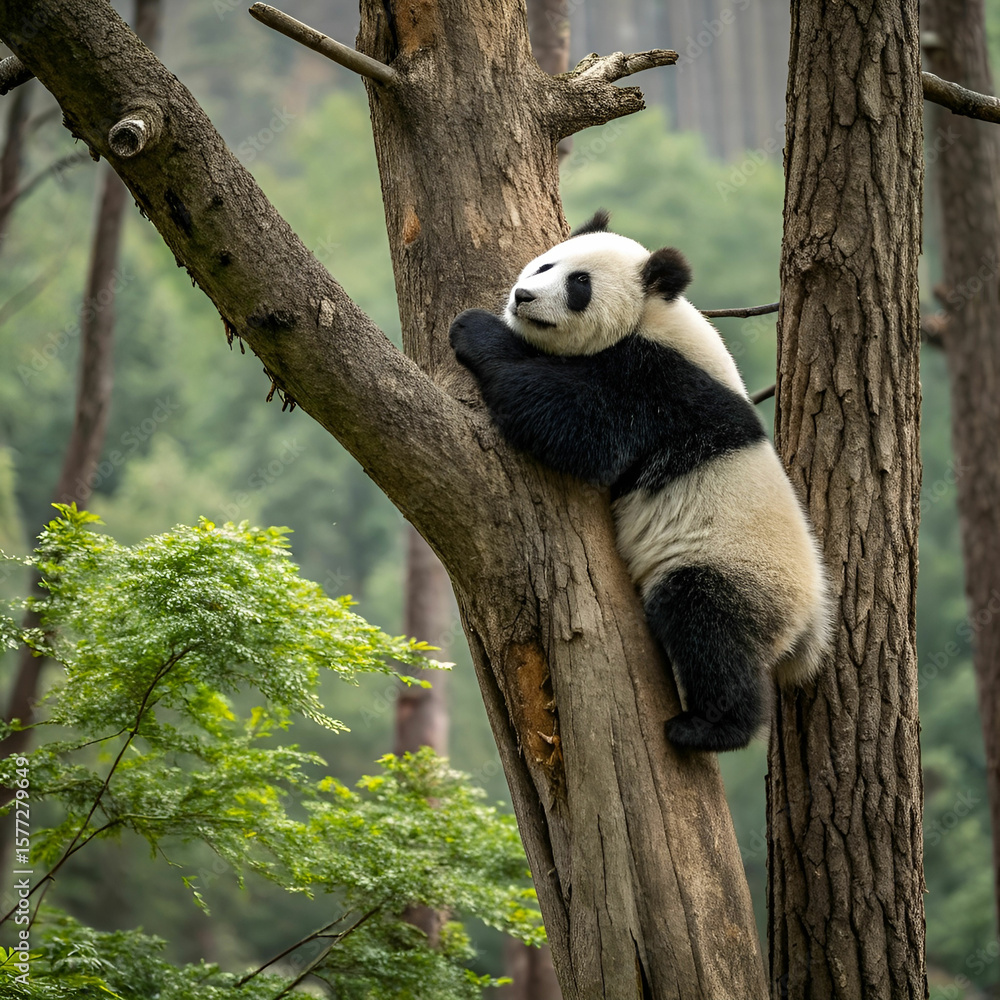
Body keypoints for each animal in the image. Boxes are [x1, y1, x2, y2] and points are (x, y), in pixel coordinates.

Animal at [449, 210, 833, 753]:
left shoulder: (658, 383)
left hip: (736, 570)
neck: (652, 315)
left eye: (579, 284)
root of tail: (808, 627)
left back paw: (707, 728)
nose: (522, 296)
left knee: (706, 627)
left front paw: (476, 331)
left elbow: (582, 426)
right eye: (544, 265)